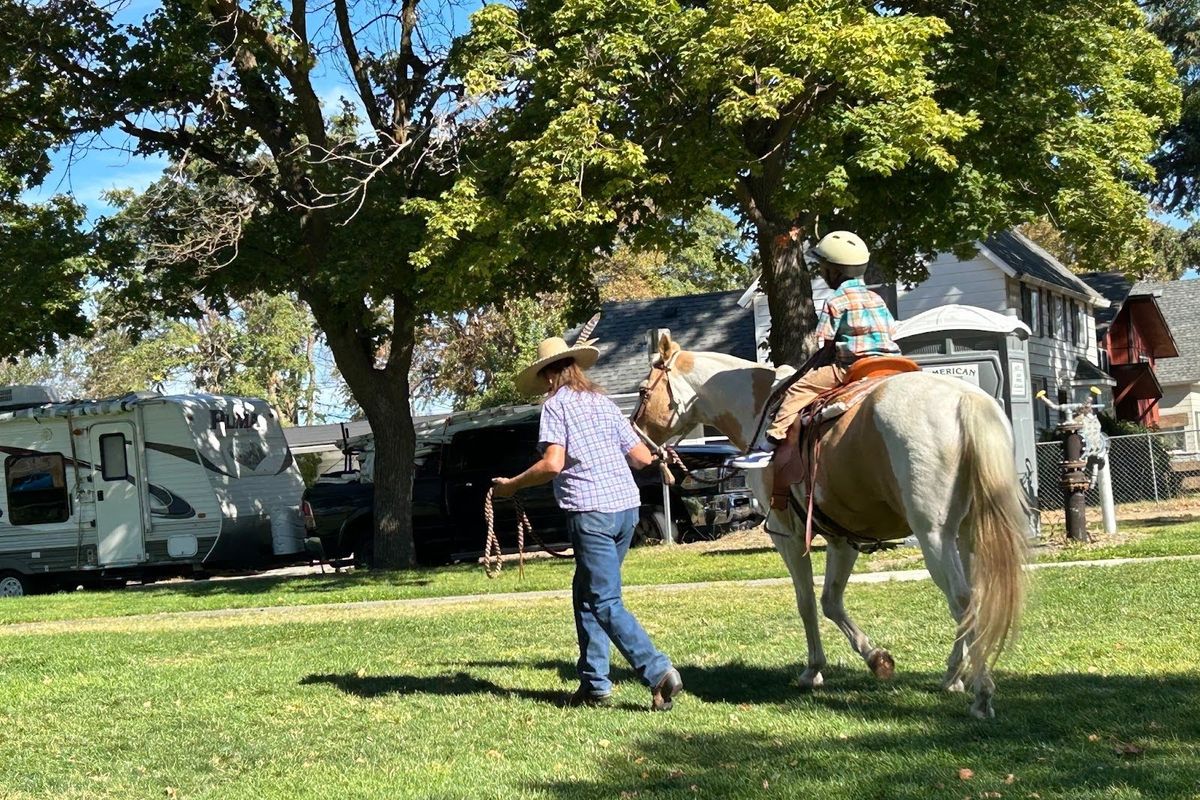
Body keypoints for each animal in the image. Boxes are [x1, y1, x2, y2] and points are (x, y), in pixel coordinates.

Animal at [633, 333, 1027, 719]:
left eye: (643, 391)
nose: (638, 442)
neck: (759, 410)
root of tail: (964, 399)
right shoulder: (842, 538)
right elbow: (830, 600)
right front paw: (876, 658)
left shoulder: (787, 535)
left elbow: (806, 601)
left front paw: (813, 670)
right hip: (967, 533)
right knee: (975, 598)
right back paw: (954, 676)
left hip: (935, 536)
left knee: (962, 601)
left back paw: (981, 693)